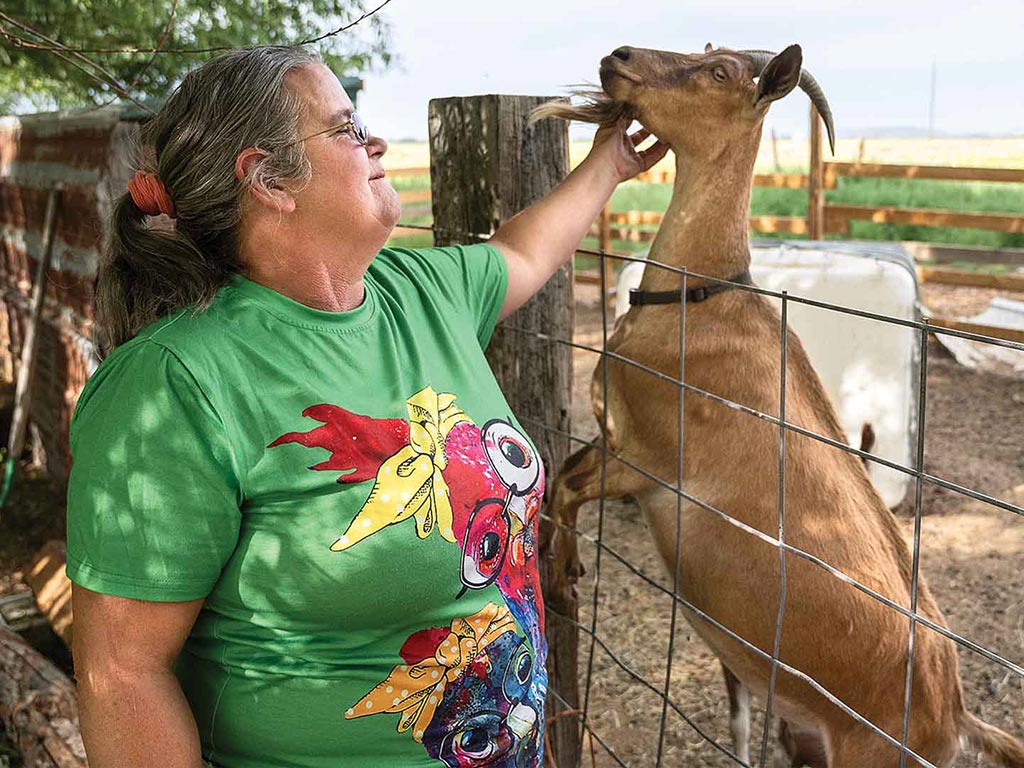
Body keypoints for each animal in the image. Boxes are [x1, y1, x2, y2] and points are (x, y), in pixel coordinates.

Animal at [536, 45, 1024, 768]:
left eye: (720, 73)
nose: (617, 57)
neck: (696, 302)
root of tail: (956, 720)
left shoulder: (648, 459)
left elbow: (567, 485)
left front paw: (564, 577)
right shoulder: (614, 437)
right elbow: (561, 471)